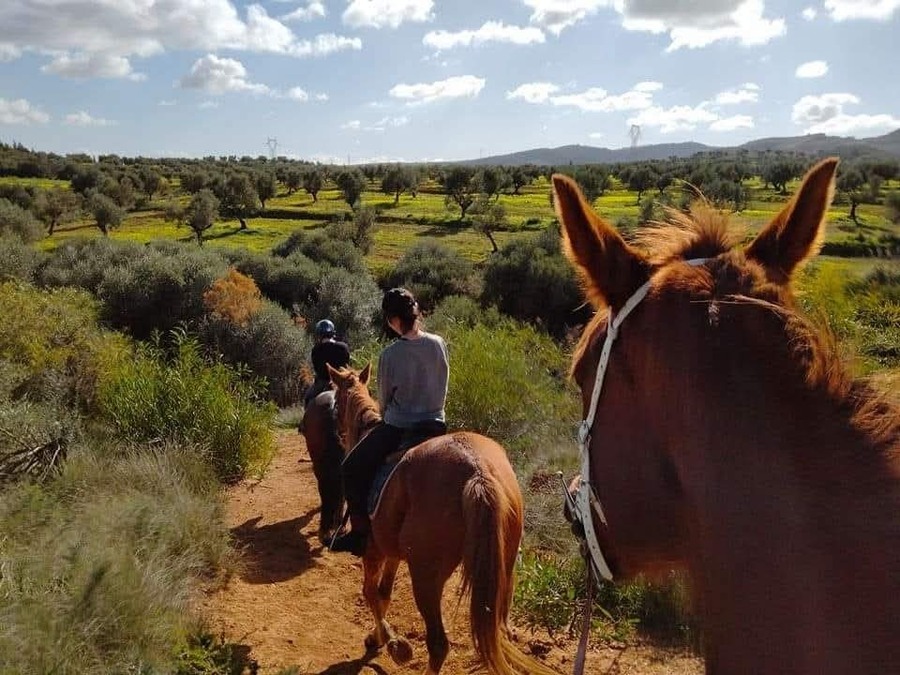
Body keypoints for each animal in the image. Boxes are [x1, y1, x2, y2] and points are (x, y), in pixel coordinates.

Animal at [325, 364, 558, 675]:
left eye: (337, 403)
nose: (338, 433)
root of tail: (477, 471)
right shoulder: (392, 553)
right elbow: (384, 594)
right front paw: (377, 638)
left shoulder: (373, 550)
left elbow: (371, 593)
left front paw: (394, 644)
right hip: (503, 569)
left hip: (426, 575)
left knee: (438, 644)